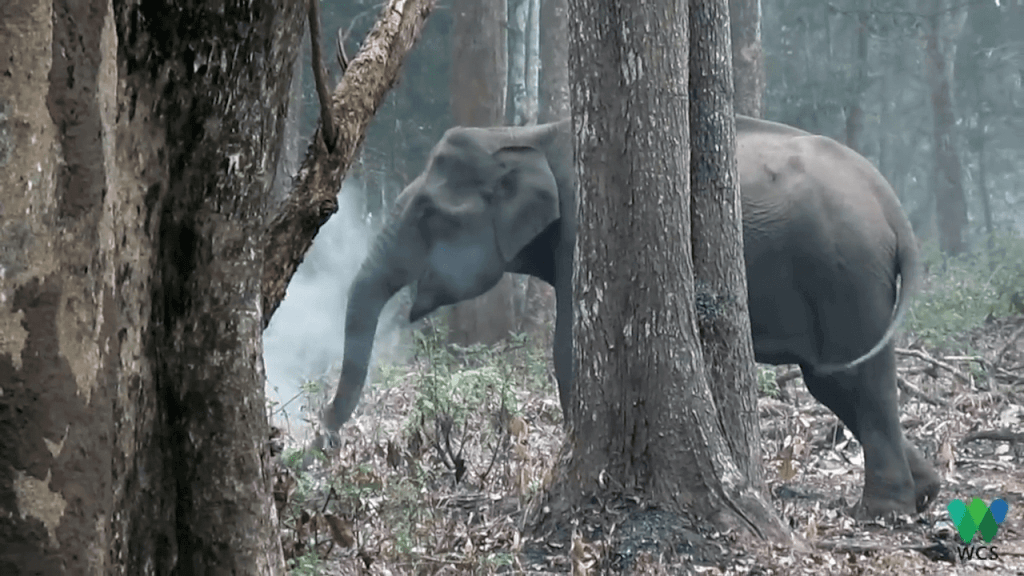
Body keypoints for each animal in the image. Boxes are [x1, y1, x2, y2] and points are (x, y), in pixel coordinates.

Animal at [322, 116, 940, 518]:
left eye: (429, 214)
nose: (323, 442)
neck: (522, 133)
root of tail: (893, 207)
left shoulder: (584, 230)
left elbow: (570, 350)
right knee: (837, 382)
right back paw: (924, 492)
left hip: (844, 274)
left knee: (851, 378)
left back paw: (881, 512)